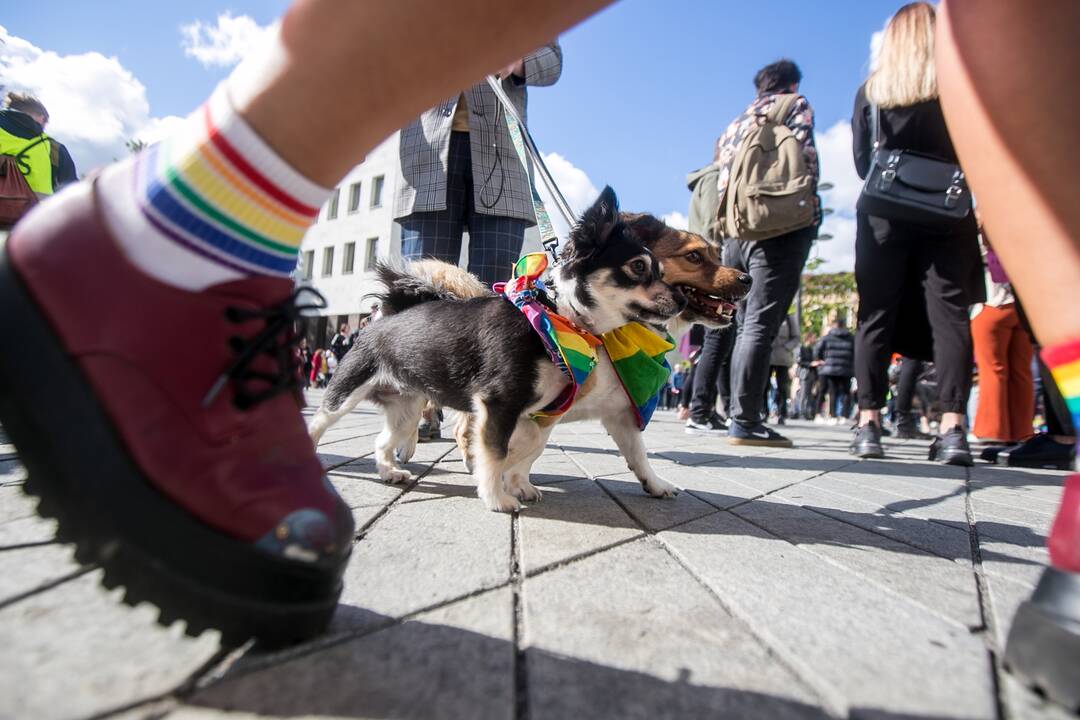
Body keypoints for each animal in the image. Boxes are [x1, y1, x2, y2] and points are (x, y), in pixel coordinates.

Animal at [308, 185, 686, 511]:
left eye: (662, 271)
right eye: (638, 267)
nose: (680, 297)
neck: (558, 317)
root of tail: (385, 315)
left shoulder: (538, 412)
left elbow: (529, 447)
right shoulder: (500, 402)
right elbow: (496, 451)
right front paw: (496, 497)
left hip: (406, 408)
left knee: (383, 441)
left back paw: (389, 471)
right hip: (346, 391)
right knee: (319, 422)